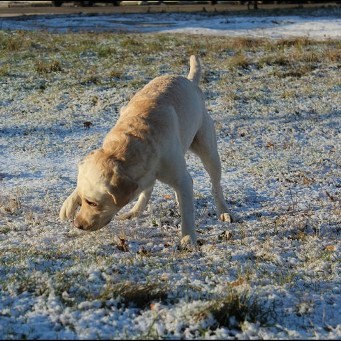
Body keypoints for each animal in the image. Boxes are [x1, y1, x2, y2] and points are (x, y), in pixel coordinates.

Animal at [60, 55, 231, 242]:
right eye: (83, 200)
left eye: (93, 203)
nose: (78, 225)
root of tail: (189, 80)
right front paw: (69, 202)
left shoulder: (182, 179)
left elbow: (187, 214)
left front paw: (188, 239)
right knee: (147, 190)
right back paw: (134, 212)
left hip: (209, 152)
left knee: (215, 185)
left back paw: (223, 211)